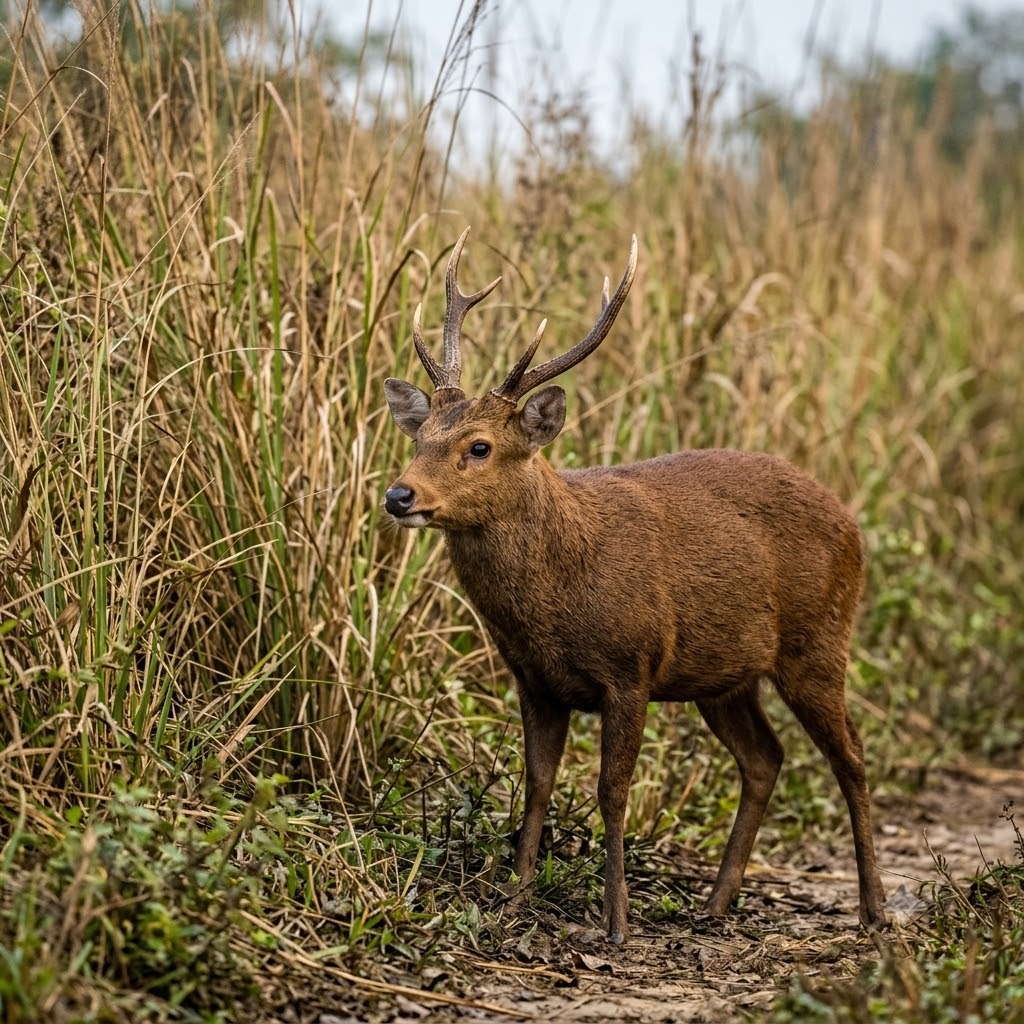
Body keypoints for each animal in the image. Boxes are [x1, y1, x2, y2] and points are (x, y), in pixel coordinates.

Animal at [383, 228, 887, 943]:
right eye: (420, 435)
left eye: (479, 447)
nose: (400, 496)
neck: (561, 595)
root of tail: (852, 523)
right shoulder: (534, 680)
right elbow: (537, 784)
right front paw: (514, 899)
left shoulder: (631, 666)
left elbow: (610, 792)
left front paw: (616, 921)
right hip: (724, 676)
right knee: (765, 758)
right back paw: (717, 902)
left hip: (818, 639)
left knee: (852, 756)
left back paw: (873, 908)